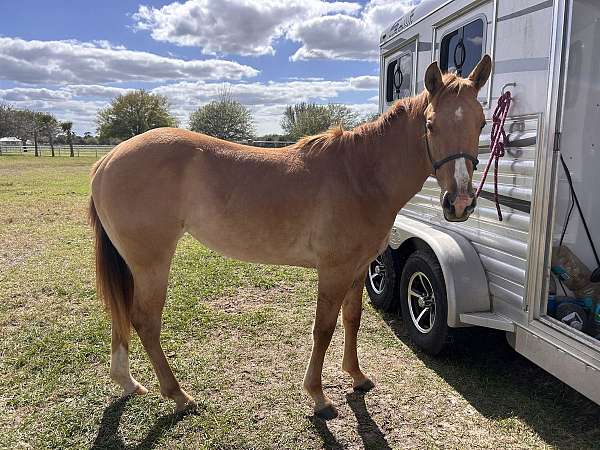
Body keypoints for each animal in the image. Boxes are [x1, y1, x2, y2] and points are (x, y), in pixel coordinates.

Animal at [89, 55, 492, 418]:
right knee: (145, 320)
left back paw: (128, 382)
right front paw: (318, 396)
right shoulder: (334, 271)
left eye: (482, 122)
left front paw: (356, 376)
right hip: (152, 262)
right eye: (431, 125)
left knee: (121, 314)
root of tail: (108, 161)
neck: (361, 175)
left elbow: (353, 319)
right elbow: (323, 328)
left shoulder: (358, 268)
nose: (459, 203)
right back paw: (179, 396)